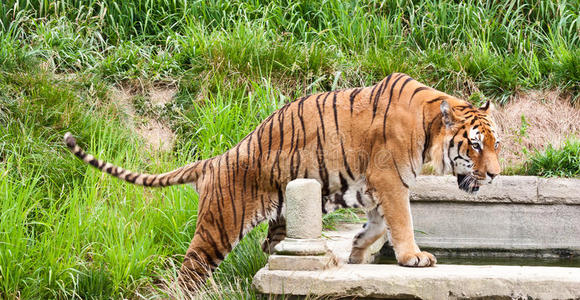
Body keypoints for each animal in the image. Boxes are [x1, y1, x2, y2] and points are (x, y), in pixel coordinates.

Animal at [62, 72, 498, 288]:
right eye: (475, 145)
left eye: (496, 143)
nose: (494, 174)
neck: (429, 130)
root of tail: (214, 161)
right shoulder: (389, 180)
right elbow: (402, 221)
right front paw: (413, 258)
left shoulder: (372, 187)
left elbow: (375, 227)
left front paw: (357, 255)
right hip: (219, 226)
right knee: (189, 272)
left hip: (280, 213)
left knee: (268, 246)